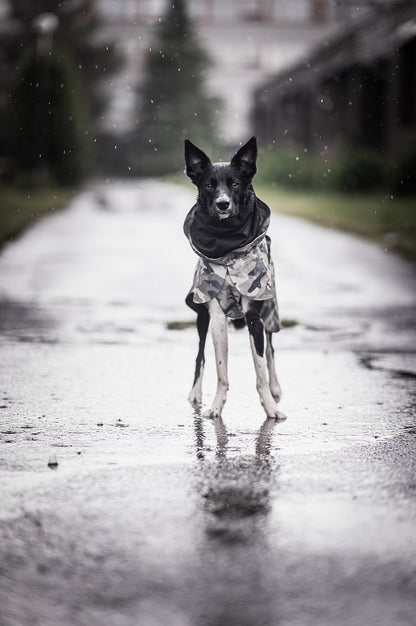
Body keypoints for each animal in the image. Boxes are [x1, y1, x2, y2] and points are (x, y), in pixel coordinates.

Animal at [185, 136, 286, 420]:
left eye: (235, 184)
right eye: (209, 185)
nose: (222, 204)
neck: (228, 243)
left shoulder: (255, 317)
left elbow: (261, 370)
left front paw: (271, 407)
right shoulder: (216, 317)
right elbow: (221, 370)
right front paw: (216, 406)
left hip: (270, 313)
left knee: (271, 351)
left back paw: (276, 388)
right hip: (201, 317)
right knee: (200, 356)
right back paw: (195, 393)